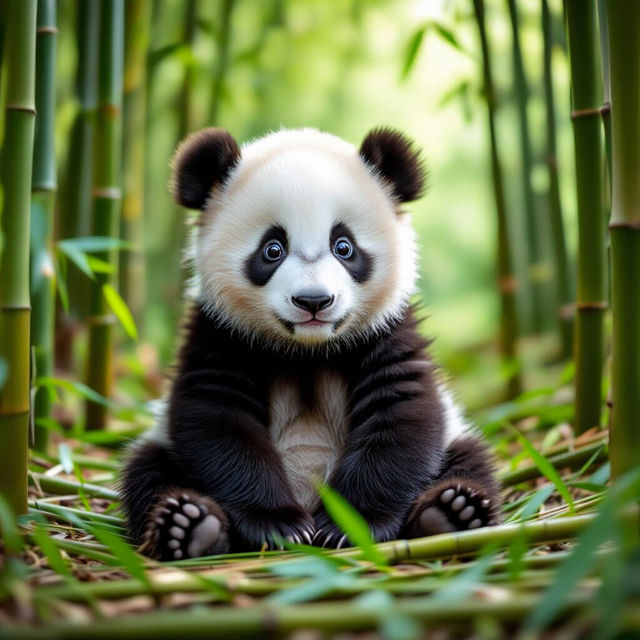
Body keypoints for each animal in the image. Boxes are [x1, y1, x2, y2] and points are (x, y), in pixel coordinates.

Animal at [120, 126, 500, 560]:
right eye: (272, 249)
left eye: (344, 246)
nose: (314, 300)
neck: (307, 349)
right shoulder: (221, 334)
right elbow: (218, 420)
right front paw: (279, 525)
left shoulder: (386, 334)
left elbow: (400, 416)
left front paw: (347, 526)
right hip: (160, 443)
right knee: (148, 472)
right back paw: (190, 527)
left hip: (456, 437)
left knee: (470, 459)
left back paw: (451, 513)